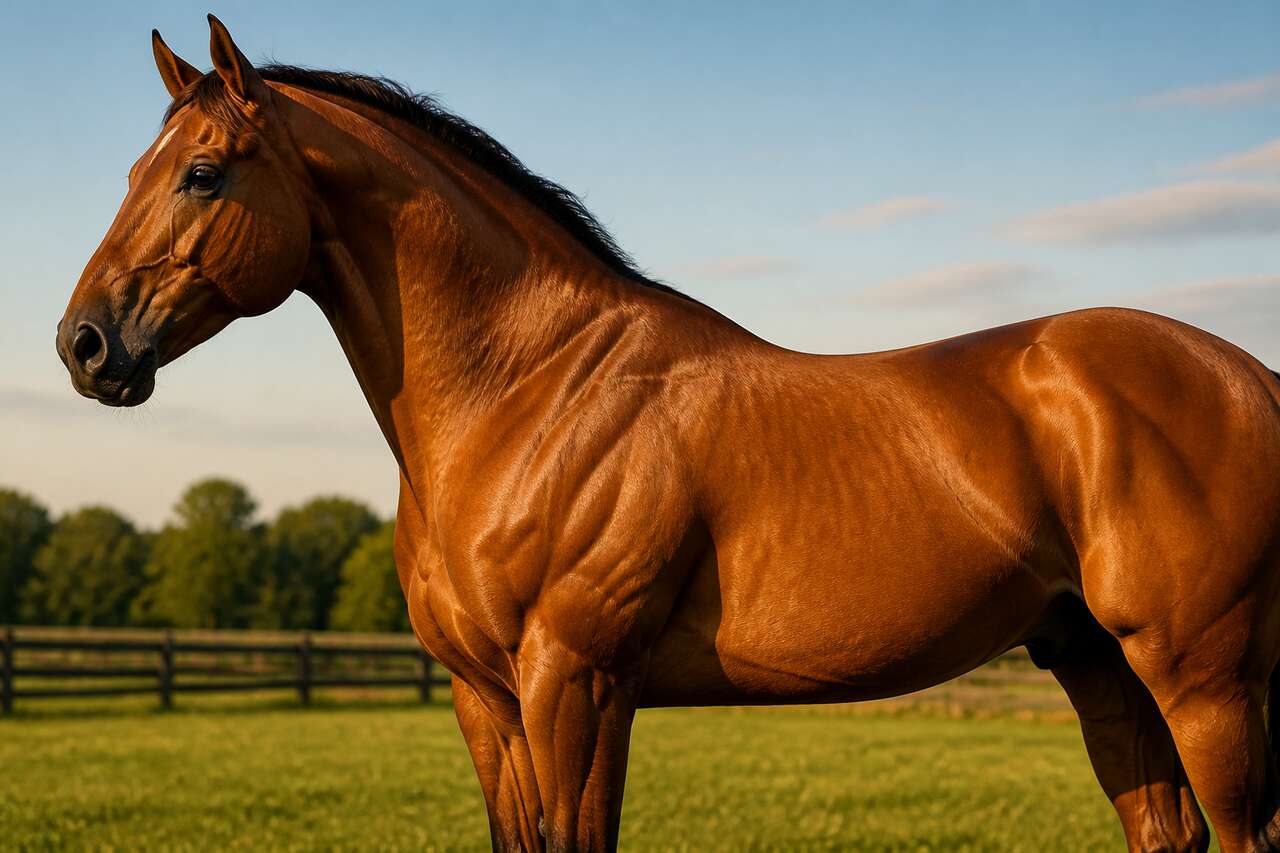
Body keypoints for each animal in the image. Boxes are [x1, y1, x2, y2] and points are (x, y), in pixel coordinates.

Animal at [56, 16, 1280, 852]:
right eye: (134, 172)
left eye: (201, 174)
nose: (85, 344)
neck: (533, 393)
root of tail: (1246, 376)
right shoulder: (485, 698)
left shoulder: (577, 681)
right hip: (1098, 661)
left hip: (1203, 675)